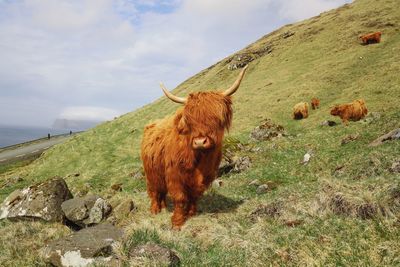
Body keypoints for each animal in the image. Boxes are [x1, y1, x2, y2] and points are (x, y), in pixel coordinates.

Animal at [140, 65, 247, 230]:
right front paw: (177, 222)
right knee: (154, 191)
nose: (200, 141)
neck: (199, 160)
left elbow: (194, 196)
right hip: (151, 173)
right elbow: (180, 198)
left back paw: (163, 207)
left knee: (162, 192)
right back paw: (155, 210)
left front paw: (191, 214)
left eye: (216, 118)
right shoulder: (175, 175)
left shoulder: (205, 177)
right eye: (189, 120)